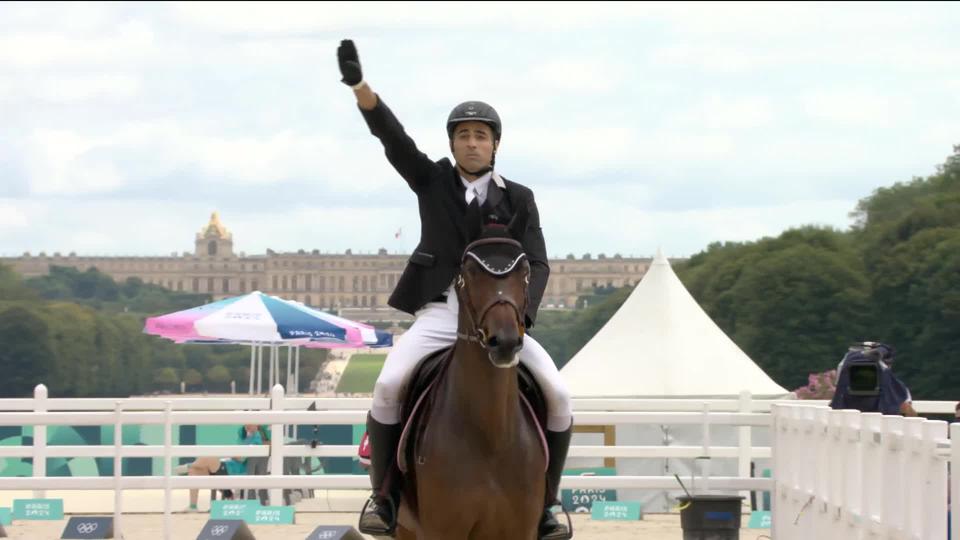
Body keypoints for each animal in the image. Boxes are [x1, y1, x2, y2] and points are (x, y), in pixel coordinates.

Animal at [388, 226, 548, 536]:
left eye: (524, 272)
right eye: (471, 272)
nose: (505, 342)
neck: (491, 435)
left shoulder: (521, 530)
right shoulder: (442, 530)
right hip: (406, 528)